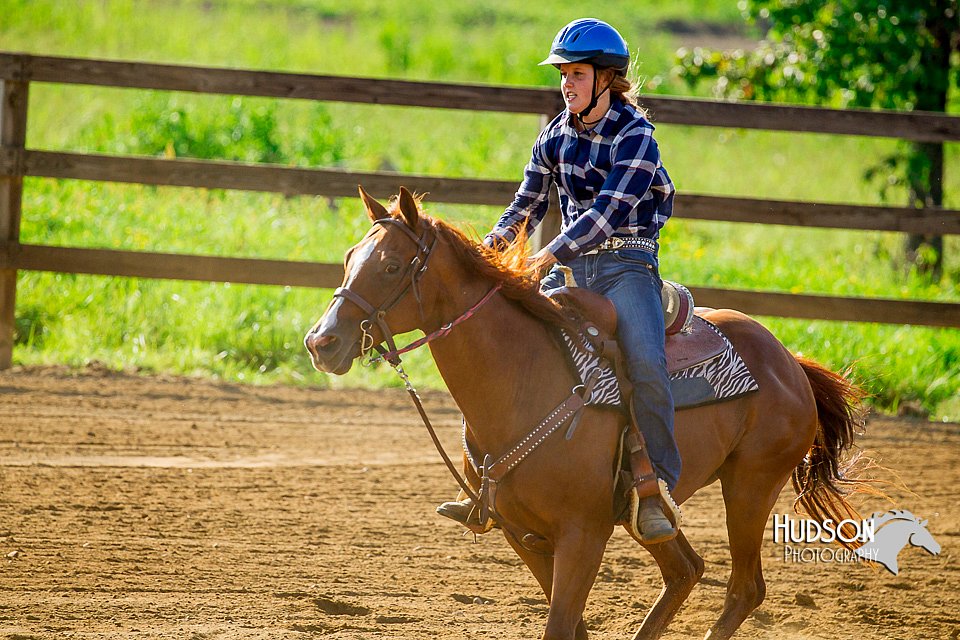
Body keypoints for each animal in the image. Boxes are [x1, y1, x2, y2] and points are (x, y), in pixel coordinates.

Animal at [304, 188, 868, 636]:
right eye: (350, 257)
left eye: (391, 266)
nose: (320, 342)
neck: (522, 381)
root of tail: (789, 361)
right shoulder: (523, 535)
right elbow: (571, 626)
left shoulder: (584, 535)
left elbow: (560, 625)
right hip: (653, 515)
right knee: (685, 569)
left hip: (750, 488)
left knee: (744, 588)